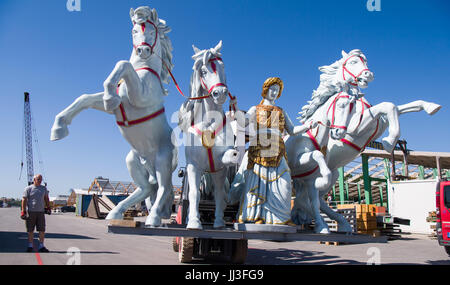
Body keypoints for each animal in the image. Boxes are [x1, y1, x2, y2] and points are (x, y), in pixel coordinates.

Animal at [49, 5, 176, 225]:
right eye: (134, 30)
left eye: (152, 32)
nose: (143, 51)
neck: (143, 71)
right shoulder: (118, 106)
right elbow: (85, 98)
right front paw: (58, 128)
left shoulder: (140, 96)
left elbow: (123, 64)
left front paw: (109, 96)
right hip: (133, 162)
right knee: (147, 188)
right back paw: (116, 212)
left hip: (163, 160)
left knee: (163, 187)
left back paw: (153, 218)